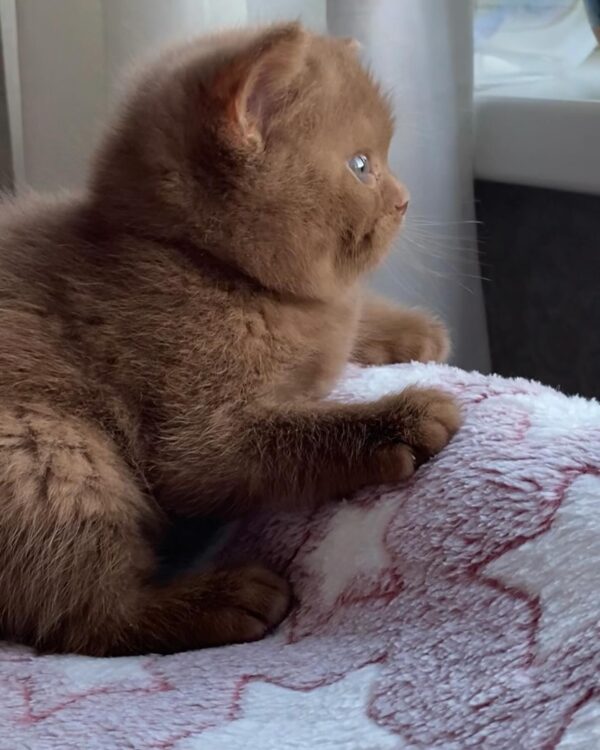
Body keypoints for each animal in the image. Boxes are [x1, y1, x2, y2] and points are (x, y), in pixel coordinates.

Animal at [0, 25, 460, 656]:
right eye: (361, 164)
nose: (405, 198)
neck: (205, 265)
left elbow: (348, 324)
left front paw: (414, 331)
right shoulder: (194, 437)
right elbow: (280, 440)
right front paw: (400, 418)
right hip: (45, 450)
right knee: (83, 613)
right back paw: (215, 599)